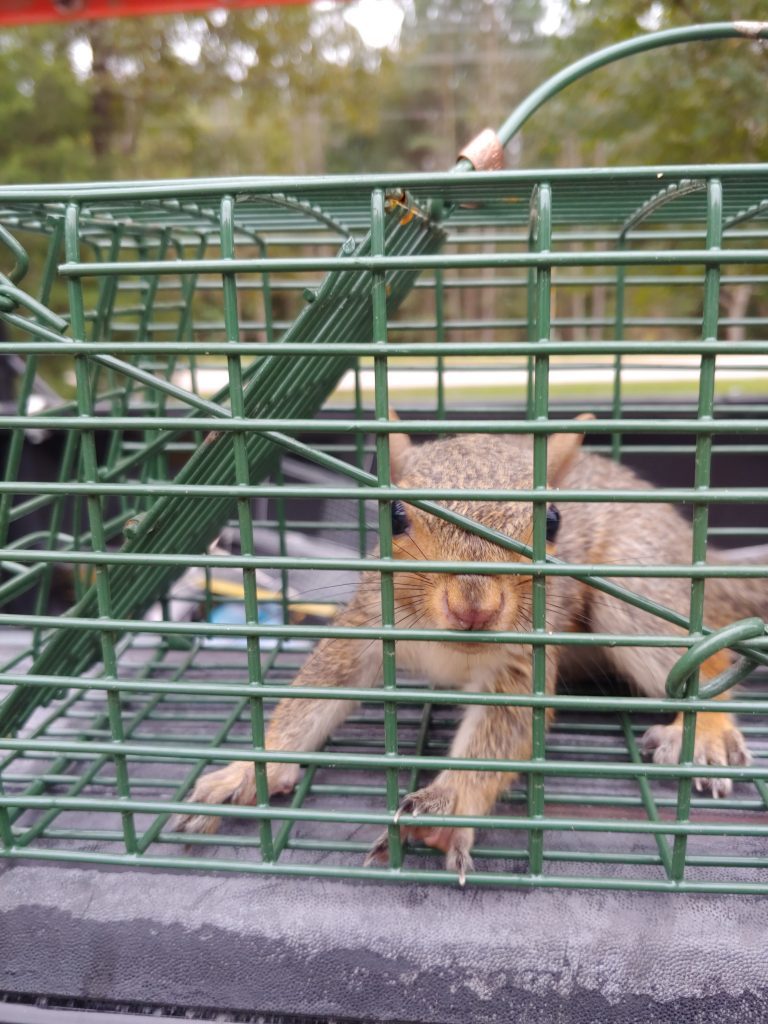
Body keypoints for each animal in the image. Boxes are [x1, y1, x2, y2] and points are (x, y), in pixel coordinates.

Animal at [172, 419, 766, 883]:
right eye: (395, 518)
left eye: (552, 522)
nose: (474, 605)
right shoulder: (367, 626)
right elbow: (314, 697)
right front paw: (248, 772)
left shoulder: (524, 663)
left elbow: (500, 733)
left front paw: (449, 805)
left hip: (631, 592)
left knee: (705, 661)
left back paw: (706, 733)